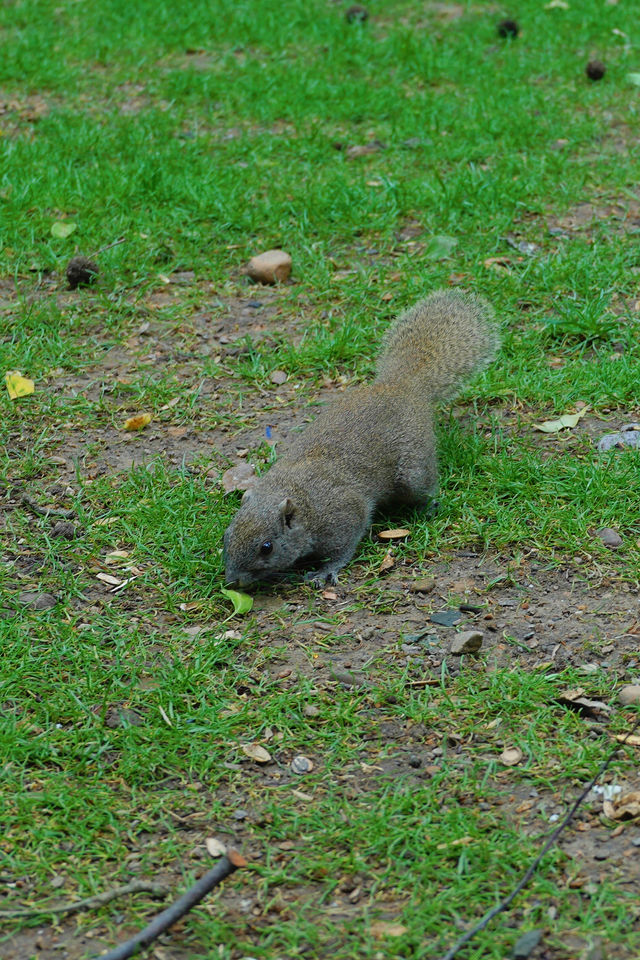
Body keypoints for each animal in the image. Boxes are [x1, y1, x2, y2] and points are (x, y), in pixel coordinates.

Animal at [222, 286, 498, 584]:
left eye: (266, 547)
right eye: (227, 534)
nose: (232, 581)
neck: (303, 500)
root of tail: (400, 386)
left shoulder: (346, 512)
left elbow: (344, 547)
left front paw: (325, 571)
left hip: (412, 471)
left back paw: (427, 506)